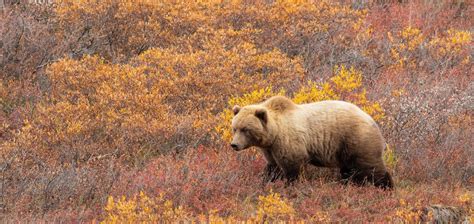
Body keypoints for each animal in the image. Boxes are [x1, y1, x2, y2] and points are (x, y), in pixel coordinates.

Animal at [231, 95, 394, 188]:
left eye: (245, 129)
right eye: (235, 128)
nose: (234, 145)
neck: (274, 133)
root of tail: (372, 120)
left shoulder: (289, 142)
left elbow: (293, 167)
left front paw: (291, 185)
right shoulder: (271, 149)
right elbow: (273, 168)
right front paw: (265, 180)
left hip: (356, 139)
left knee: (370, 167)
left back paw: (386, 187)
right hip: (345, 149)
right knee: (349, 170)